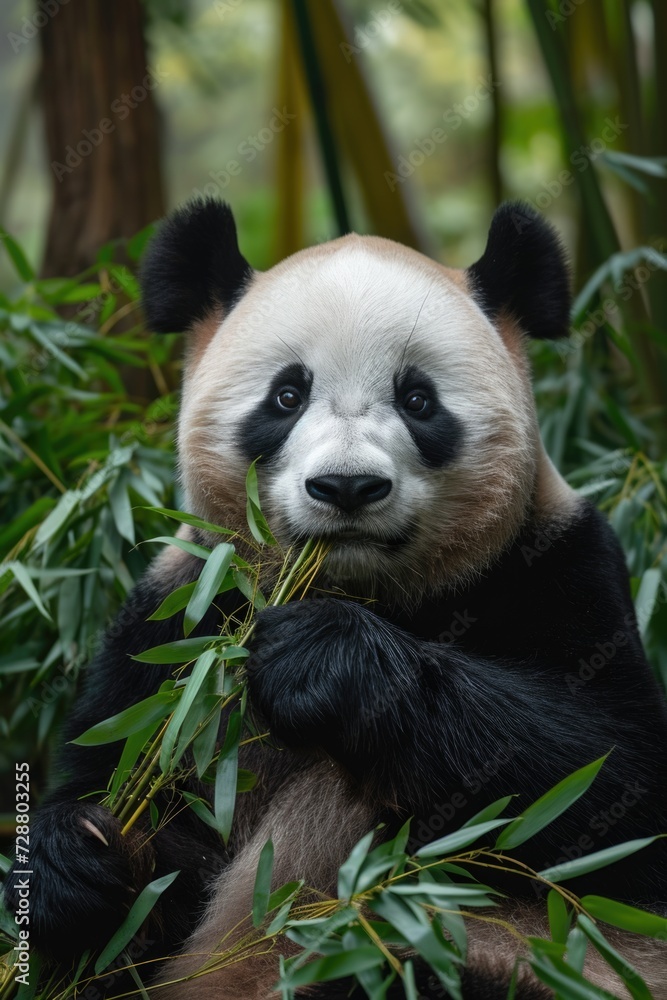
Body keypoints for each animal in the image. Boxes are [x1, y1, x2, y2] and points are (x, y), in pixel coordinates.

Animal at [5, 198, 667, 999]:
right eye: (286, 395)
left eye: (417, 399)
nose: (347, 487)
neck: (362, 591)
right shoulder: (181, 621)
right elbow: (136, 812)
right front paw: (75, 862)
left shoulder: (562, 564)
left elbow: (613, 792)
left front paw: (322, 660)